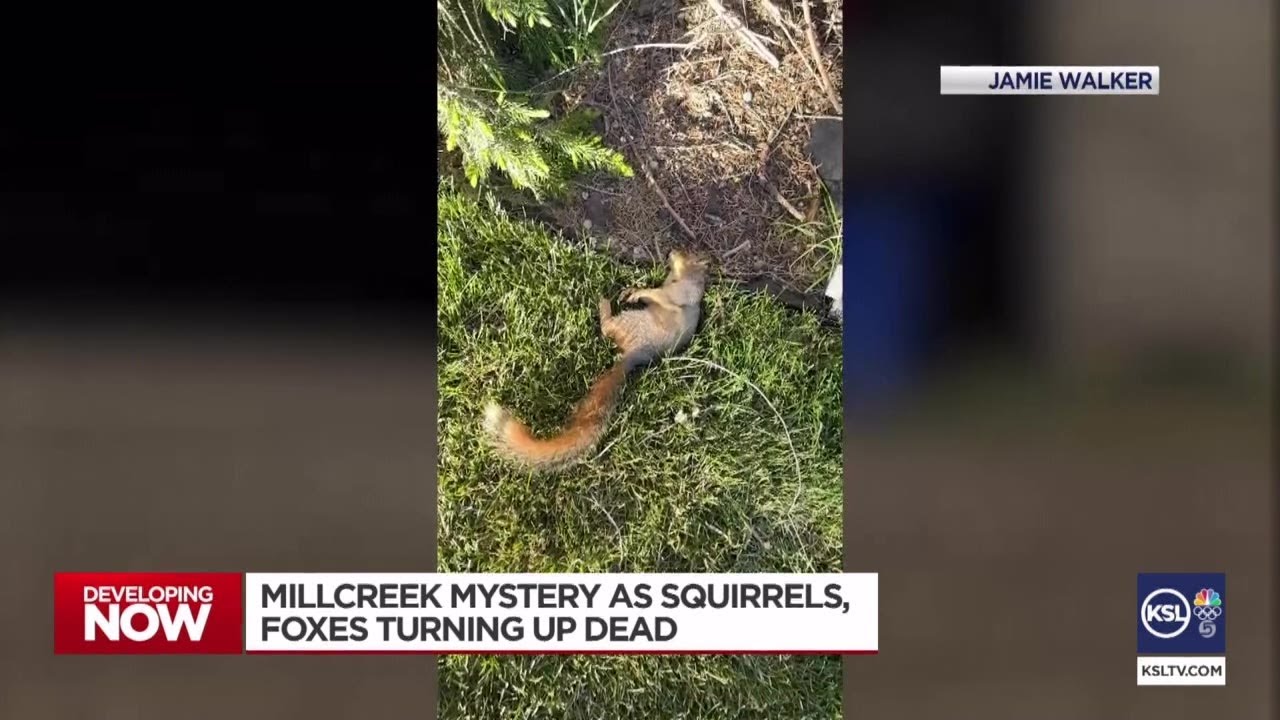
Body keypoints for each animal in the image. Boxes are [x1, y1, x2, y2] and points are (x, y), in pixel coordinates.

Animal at [482, 249, 710, 471]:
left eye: (687, 254)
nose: (669, 253)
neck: (679, 276)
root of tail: (635, 353)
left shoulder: (681, 292)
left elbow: (660, 295)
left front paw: (639, 292)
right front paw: (631, 291)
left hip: (633, 322)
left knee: (607, 327)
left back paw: (604, 304)